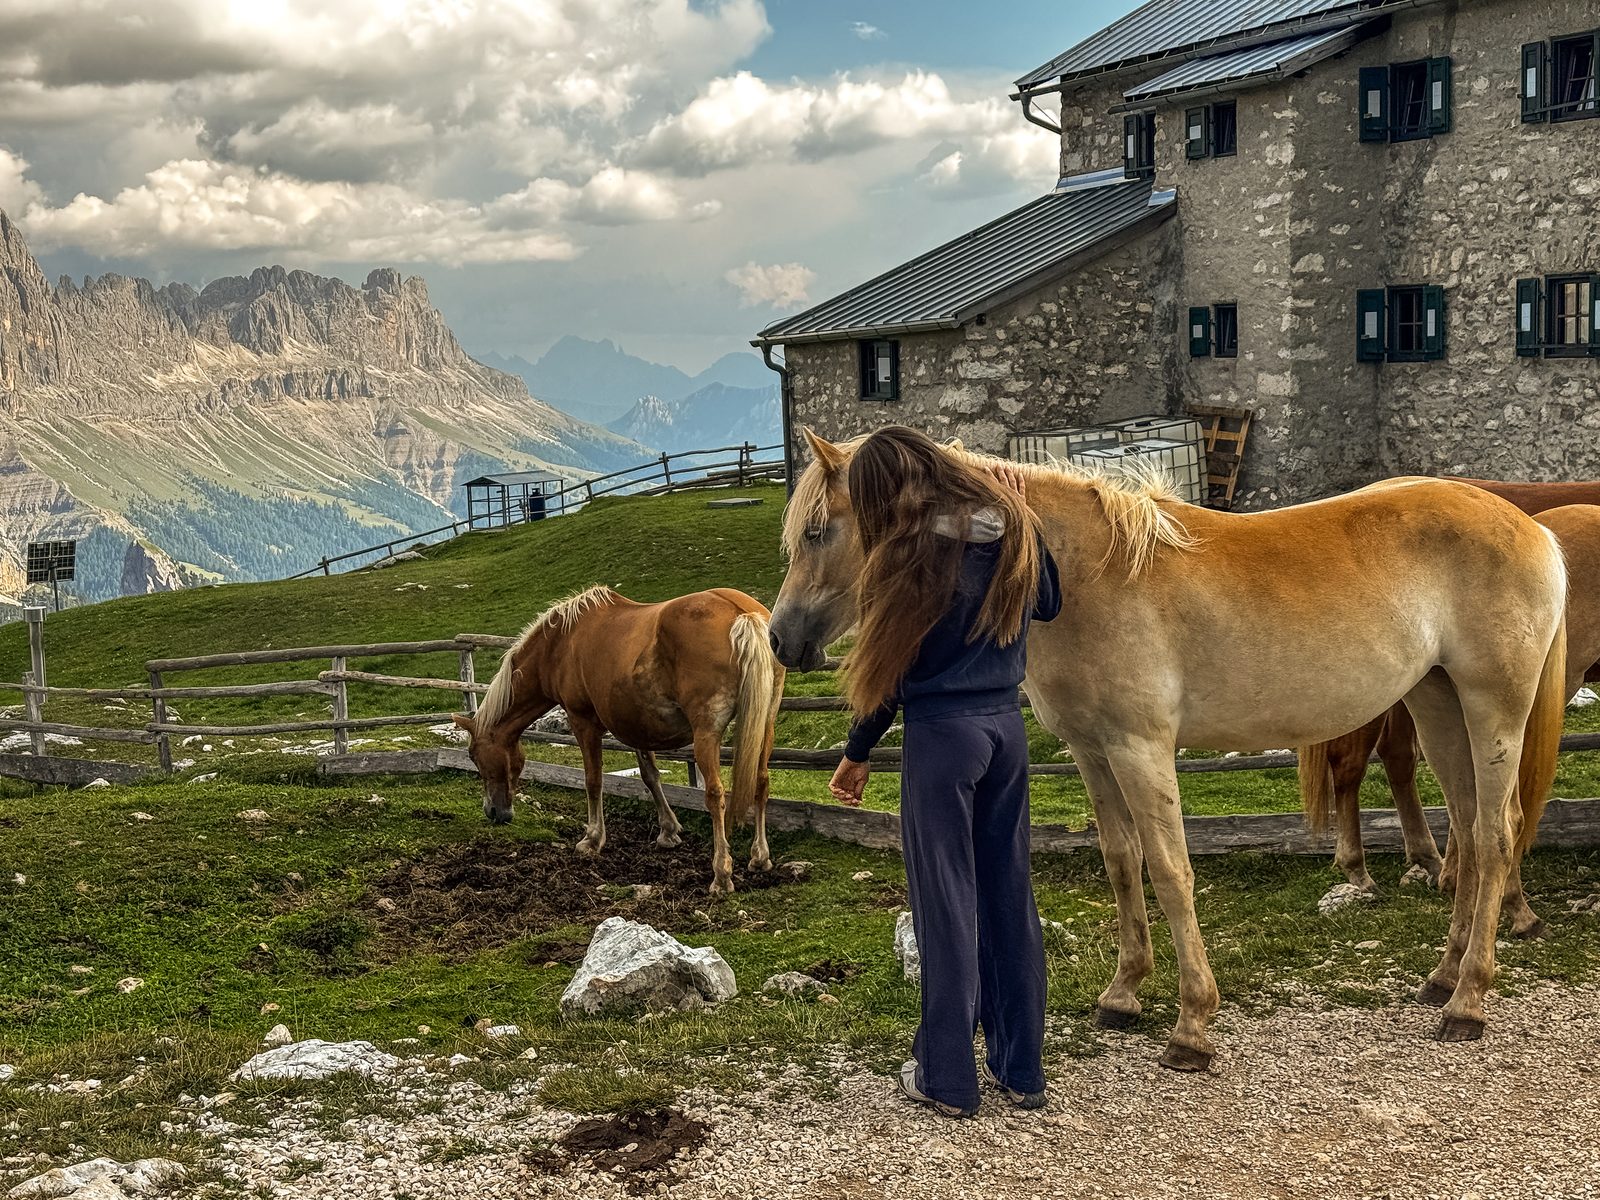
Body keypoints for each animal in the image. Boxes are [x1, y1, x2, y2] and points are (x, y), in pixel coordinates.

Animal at [452, 586, 786, 895]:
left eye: (473, 756)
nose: (494, 813)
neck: (561, 644)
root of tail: (741, 613)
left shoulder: (582, 721)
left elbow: (593, 780)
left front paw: (592, 839)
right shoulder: (635, 723)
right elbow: (650, 776)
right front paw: (668, 831)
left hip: (707, 733)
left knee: (715, 795)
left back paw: (721, 874)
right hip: (764, 724)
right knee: (762, 782)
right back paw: (760, 857)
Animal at [770, 429, 1566, 1068]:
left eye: (817, 532)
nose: (782, 639)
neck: (1084, 575)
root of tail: (1534, 532)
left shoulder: (1141, 748)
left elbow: (1172, 871)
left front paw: (1191, 1026)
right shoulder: (1093, 753)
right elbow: (1123, 863)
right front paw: (1123, 994)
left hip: (1493, 709)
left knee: (1494, 836)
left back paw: (1467, 1004)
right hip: (1437, 705)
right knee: (1466, 830)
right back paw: (1444, 976)